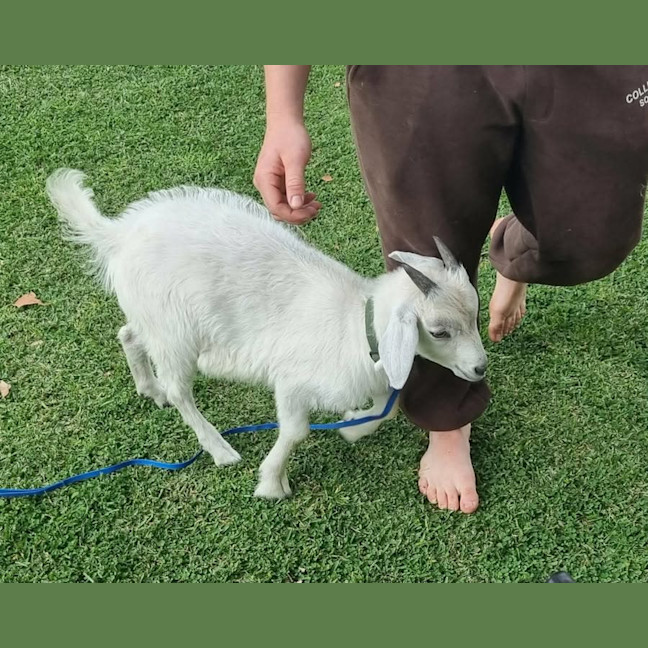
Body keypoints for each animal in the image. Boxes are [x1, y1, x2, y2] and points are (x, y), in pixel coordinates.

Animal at [46, 169, 487, 499]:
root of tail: (119, 233)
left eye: (476, 313)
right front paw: (272, 482)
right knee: (179, 389)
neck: (357, 325)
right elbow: (296, 431)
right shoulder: (292, 381)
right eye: (439, 331)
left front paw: (351, 427)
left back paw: (149, 389)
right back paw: (219, 448)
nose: (480, 369)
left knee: (128, 335)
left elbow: (385, 408)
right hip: (175, 332)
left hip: (153, 318)